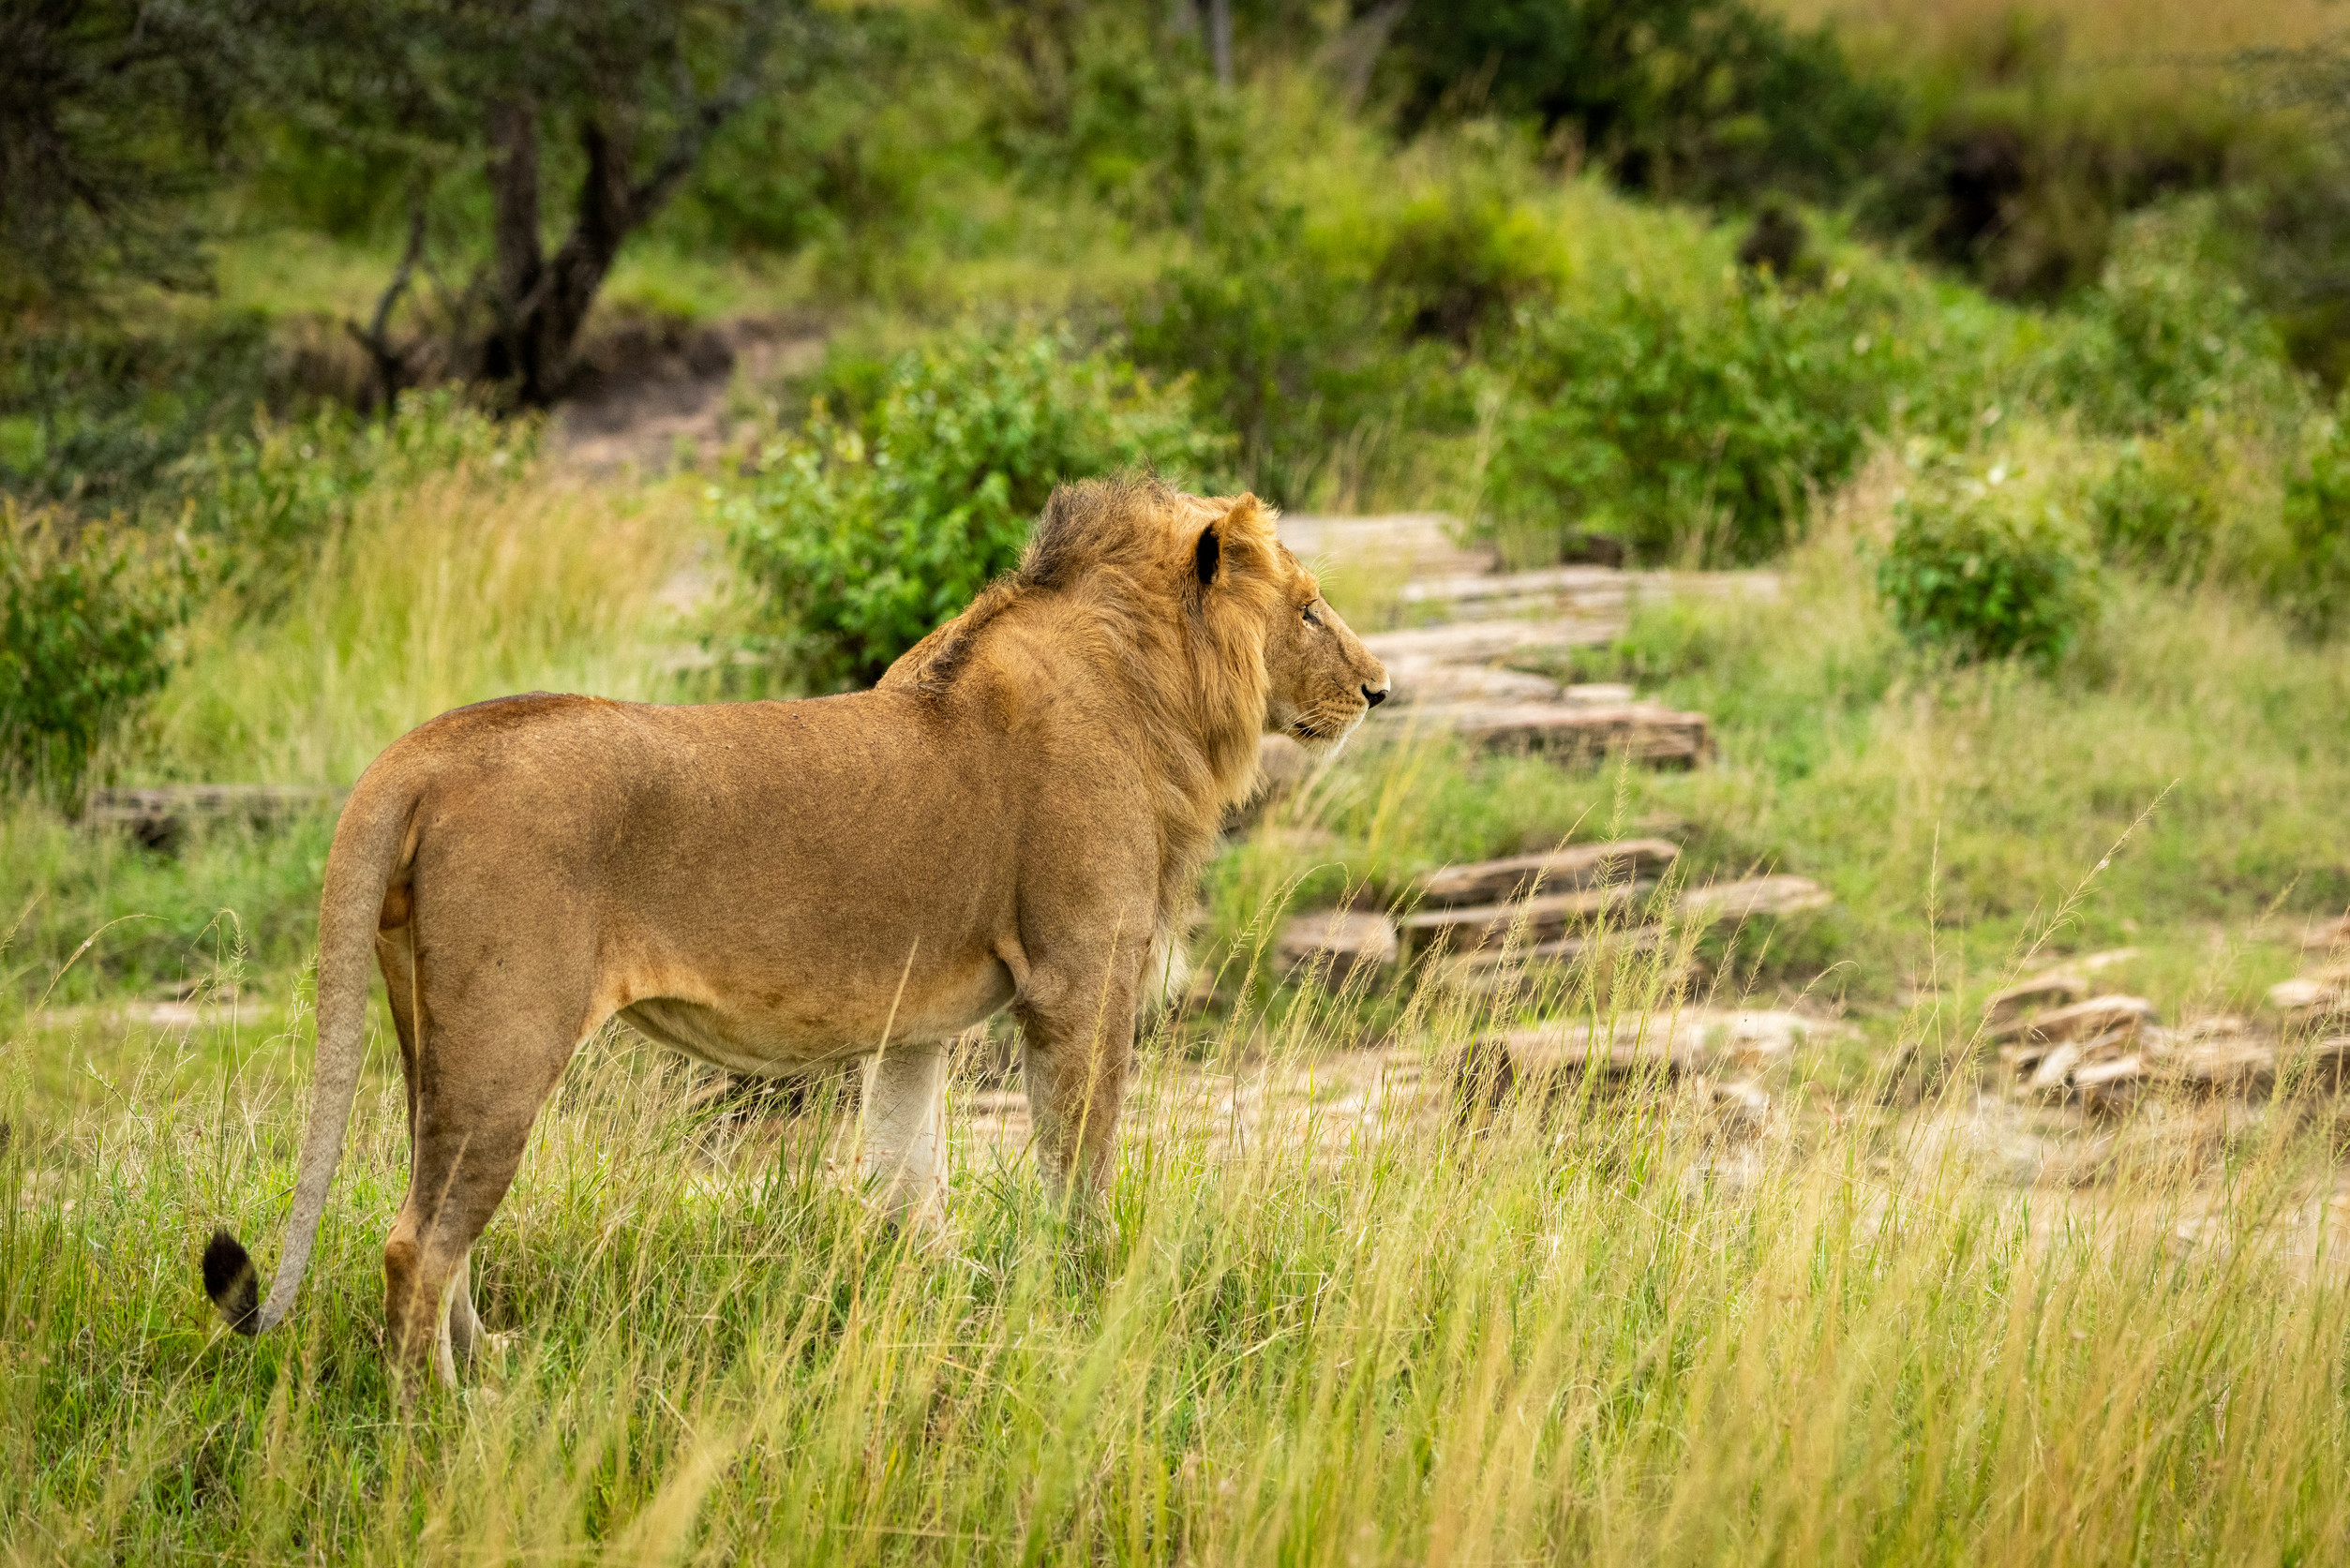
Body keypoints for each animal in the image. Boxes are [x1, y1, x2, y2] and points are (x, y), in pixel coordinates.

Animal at [202, 479, 1382, 1381]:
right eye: (1309, 610)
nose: (1378, 688)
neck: (1156, 690)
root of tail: (423, 748)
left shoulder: (917, 1024)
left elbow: (909, 1178)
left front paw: (947, 1301)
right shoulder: (1083, 976)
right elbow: (1077, 1164)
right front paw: (1084, 1293)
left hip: (431, 1038)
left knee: (434, 1218)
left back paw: (488, 1366)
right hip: (507, 1040)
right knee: (414, 1243)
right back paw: (445, 1419)